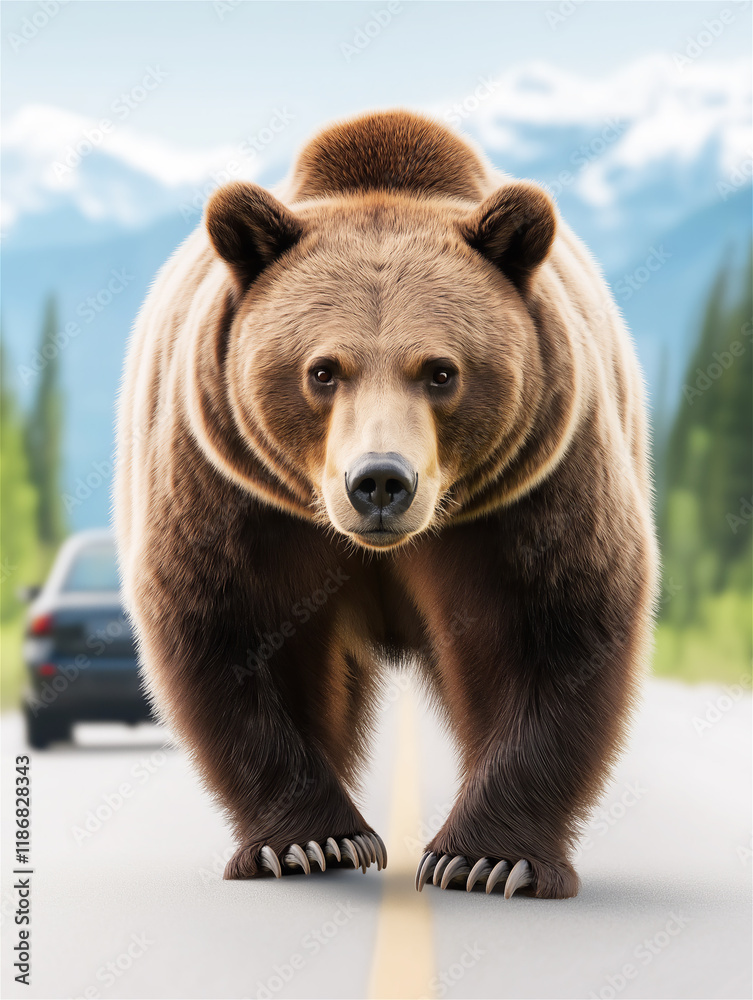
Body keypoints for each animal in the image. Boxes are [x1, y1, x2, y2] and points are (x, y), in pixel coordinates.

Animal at [114, 109, 658, 899]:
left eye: (441, 371)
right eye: (321, 370)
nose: (378, 482)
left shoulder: (531, 488)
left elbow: (554, 628)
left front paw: (487, 858)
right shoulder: (237, 493)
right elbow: (235, 630)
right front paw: (311, 842)